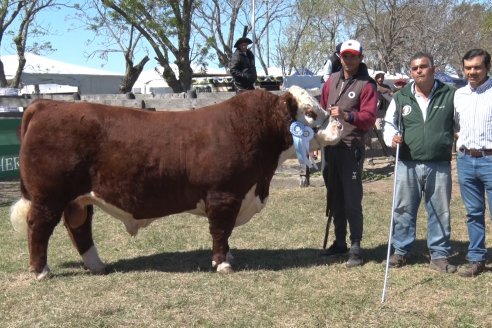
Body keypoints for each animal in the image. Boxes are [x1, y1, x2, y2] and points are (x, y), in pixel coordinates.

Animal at [10, 85, 342, 280]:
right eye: (310, 113)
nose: (339, 124)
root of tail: (45, 105)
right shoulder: (223, 195)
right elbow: (220, 230)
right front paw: (222, 263)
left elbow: (226, 232)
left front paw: (229, 255)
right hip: (48, 197)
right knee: (39, 227)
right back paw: (41, 272)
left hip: (77, 198)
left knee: (78, 228)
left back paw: (97, 266)